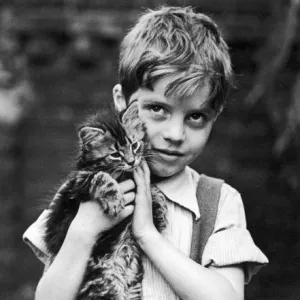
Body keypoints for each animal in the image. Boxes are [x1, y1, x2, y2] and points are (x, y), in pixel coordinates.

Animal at [44, 101, 169, 300]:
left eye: (134, 145)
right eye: (115, 154)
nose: (132, 162)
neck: (122, 173)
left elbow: (151, 188)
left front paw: (159, 207)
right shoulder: (78, 182)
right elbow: (102, 178)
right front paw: (114, 201)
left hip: (133, 286)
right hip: (105, 281)